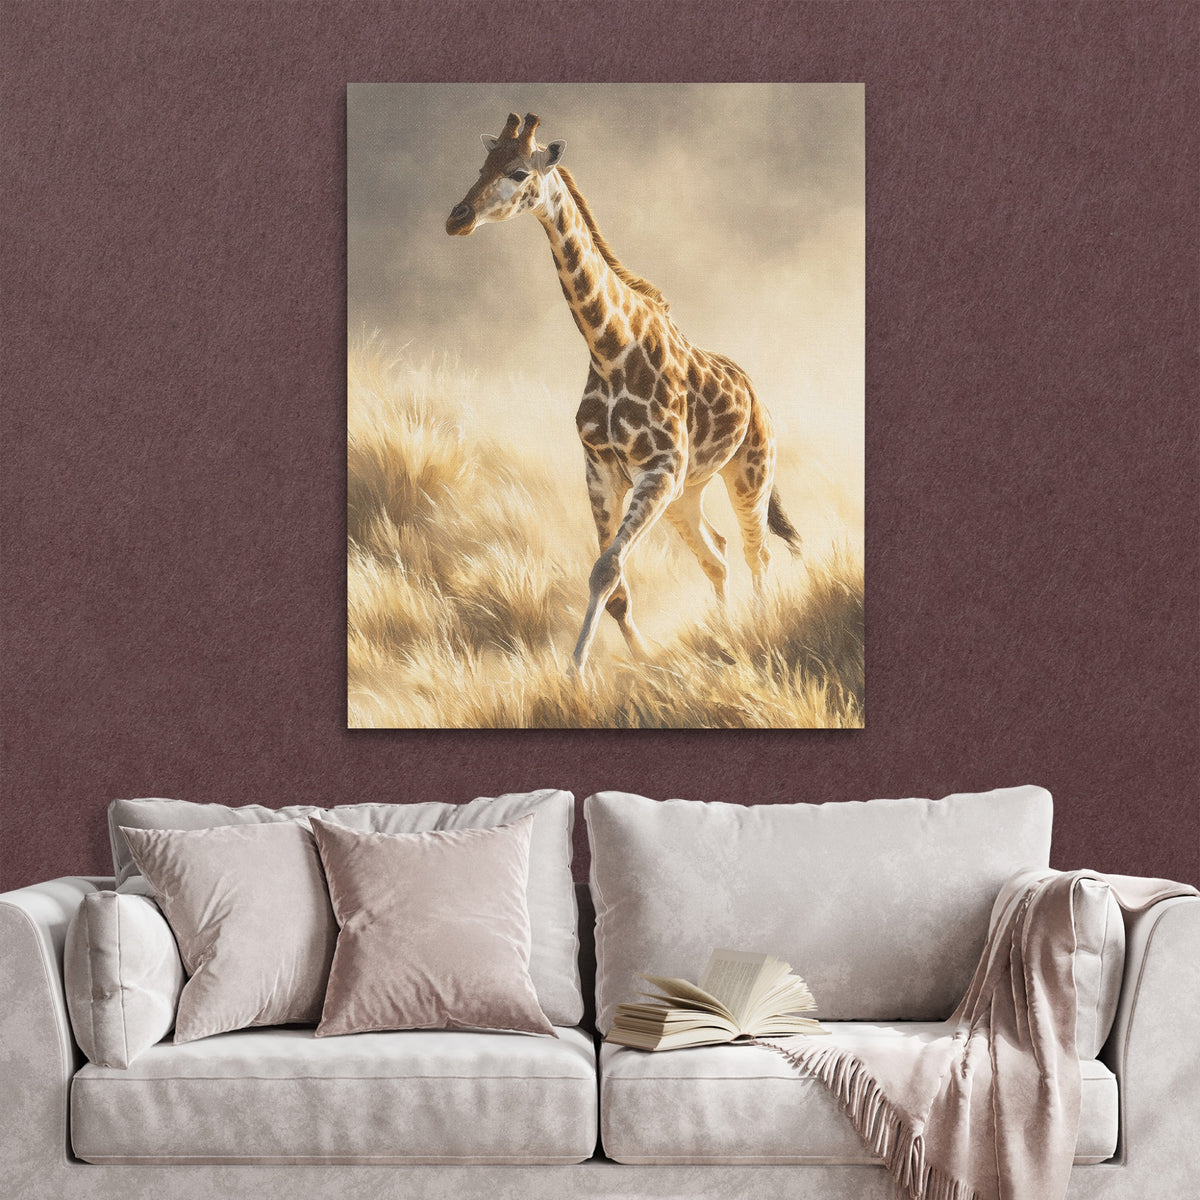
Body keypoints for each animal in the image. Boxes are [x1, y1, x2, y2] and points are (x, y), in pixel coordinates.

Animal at [446, 112, 802, 672]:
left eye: (519, 172)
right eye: (482, 165)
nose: (457, 218)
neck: (610, 349)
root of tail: (755, 393)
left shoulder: (659, 470)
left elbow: (606, 570)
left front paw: (575, 672)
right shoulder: (603, 470)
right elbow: (612, 585)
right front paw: (638, 660)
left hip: (749, 474)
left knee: (755, 551)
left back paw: (758, 626)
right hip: (688, 492)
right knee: (718, 553)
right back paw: (722, 629)